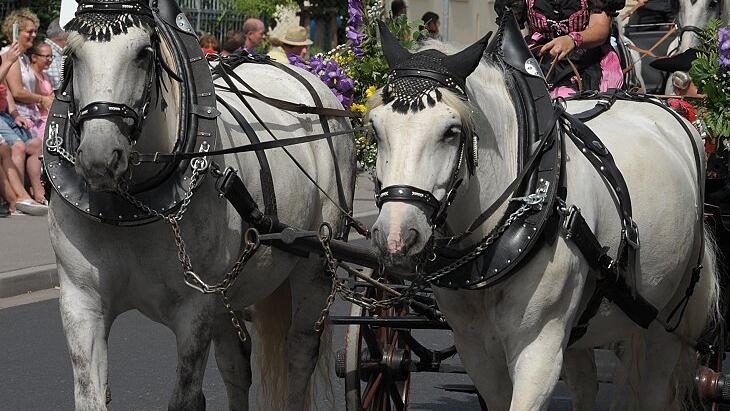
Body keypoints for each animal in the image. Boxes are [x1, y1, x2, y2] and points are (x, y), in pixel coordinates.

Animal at [366, 24, 720, 410]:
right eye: (375, 128)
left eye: (451, 132)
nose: (396, 236)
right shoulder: (477, 352)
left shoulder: (539, 350)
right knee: (585, 384)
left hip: (668, 317)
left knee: (656, 382)